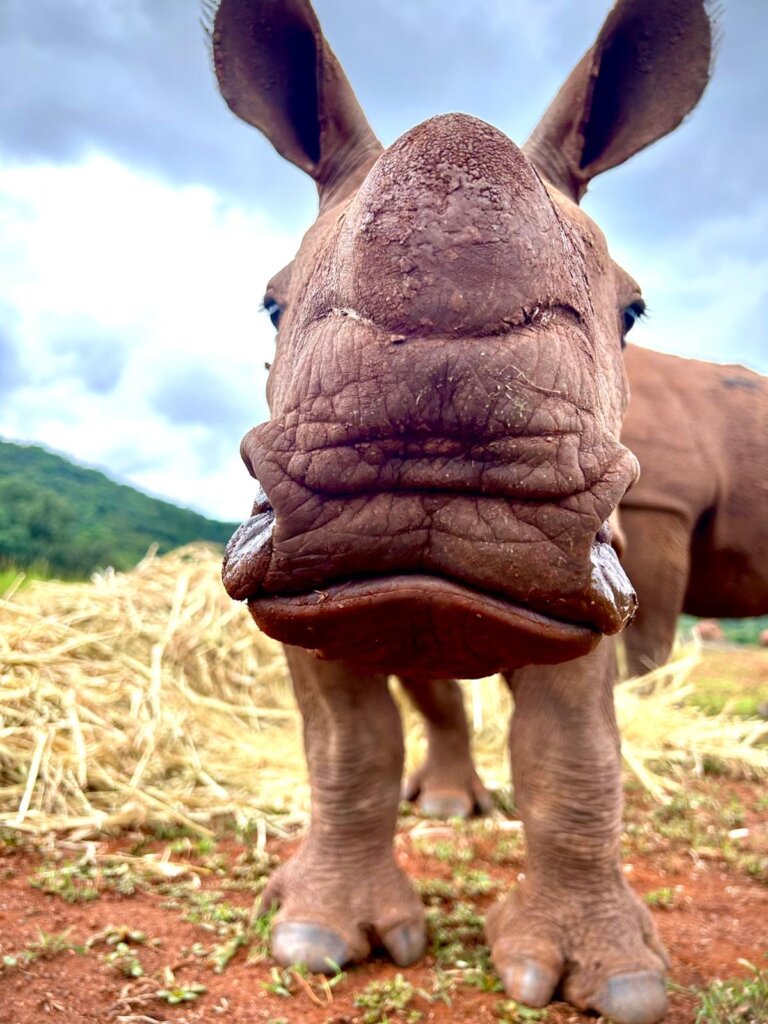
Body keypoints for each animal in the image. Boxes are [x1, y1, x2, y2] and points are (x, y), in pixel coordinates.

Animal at [215, 1, 712, 1021]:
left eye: (634, 313)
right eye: (270, 306)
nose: (429, 490)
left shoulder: (593, 582)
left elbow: (576, 757)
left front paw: (611, 980)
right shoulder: (293, 589)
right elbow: (346, 749)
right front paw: (317, 939)